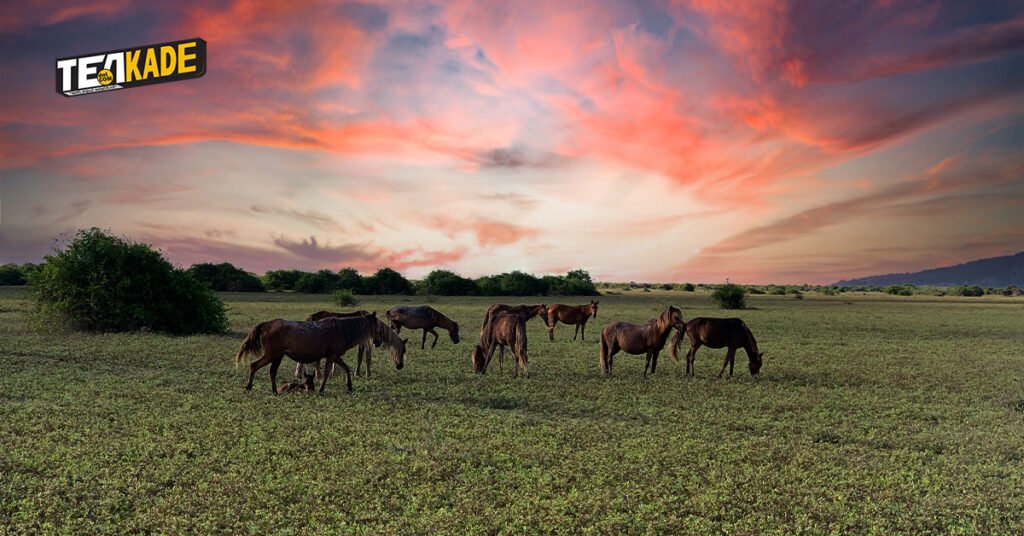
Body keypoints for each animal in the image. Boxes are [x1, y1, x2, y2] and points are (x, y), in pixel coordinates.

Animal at [235, 313, 408, 395]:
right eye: (376, 328)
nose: (377, 342)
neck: (343, 329)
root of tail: (265, 324)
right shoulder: (331, 357)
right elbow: (325, 373)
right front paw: (322, 390)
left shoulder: (336, 356)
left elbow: (346, 368)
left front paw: (349, 386)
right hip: (272, 355)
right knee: (254, 366)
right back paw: (249, 387)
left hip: (278, 356)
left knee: (271, 372)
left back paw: (274, 391)